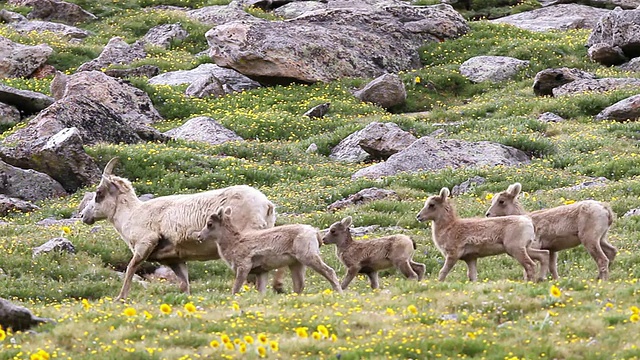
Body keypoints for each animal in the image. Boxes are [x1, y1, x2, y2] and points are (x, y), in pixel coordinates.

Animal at [80, 158, 278, 300]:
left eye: (98, 193)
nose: (83, 216)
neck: (132, 214)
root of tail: (267, 205)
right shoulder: (175, 260)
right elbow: (184, 284)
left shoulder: (145, 244)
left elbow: (130, 269)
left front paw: (120, 298)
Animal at [198, 207, 344, 294]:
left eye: (210, 224)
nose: (199, 236)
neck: (234, 243)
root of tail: (315, 232)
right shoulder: (261, 272)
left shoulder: (244, 267)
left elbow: (236, 288)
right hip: (296, 264)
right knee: (299, 284)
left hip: (308, 257)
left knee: (329, 271)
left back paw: (339, 292)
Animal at [416, 187, 552, 282]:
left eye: (431, 205)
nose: (418, 216)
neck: (450, 227)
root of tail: (527, 221)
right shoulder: (470, 259)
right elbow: (472, 276)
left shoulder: (452, 256)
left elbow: (442, 272)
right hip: (525, 248)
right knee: (544, 255)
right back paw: (541, 279)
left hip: (516, 250)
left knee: (530, 265)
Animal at [484, 183, 616, 282]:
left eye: (501, 201)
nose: (487, 214)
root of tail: (606, 210)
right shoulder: (552, 249)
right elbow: (553, 268)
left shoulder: (533, 246)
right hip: (601, 237)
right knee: (612, 251)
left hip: (589, 238)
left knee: (602, 259)